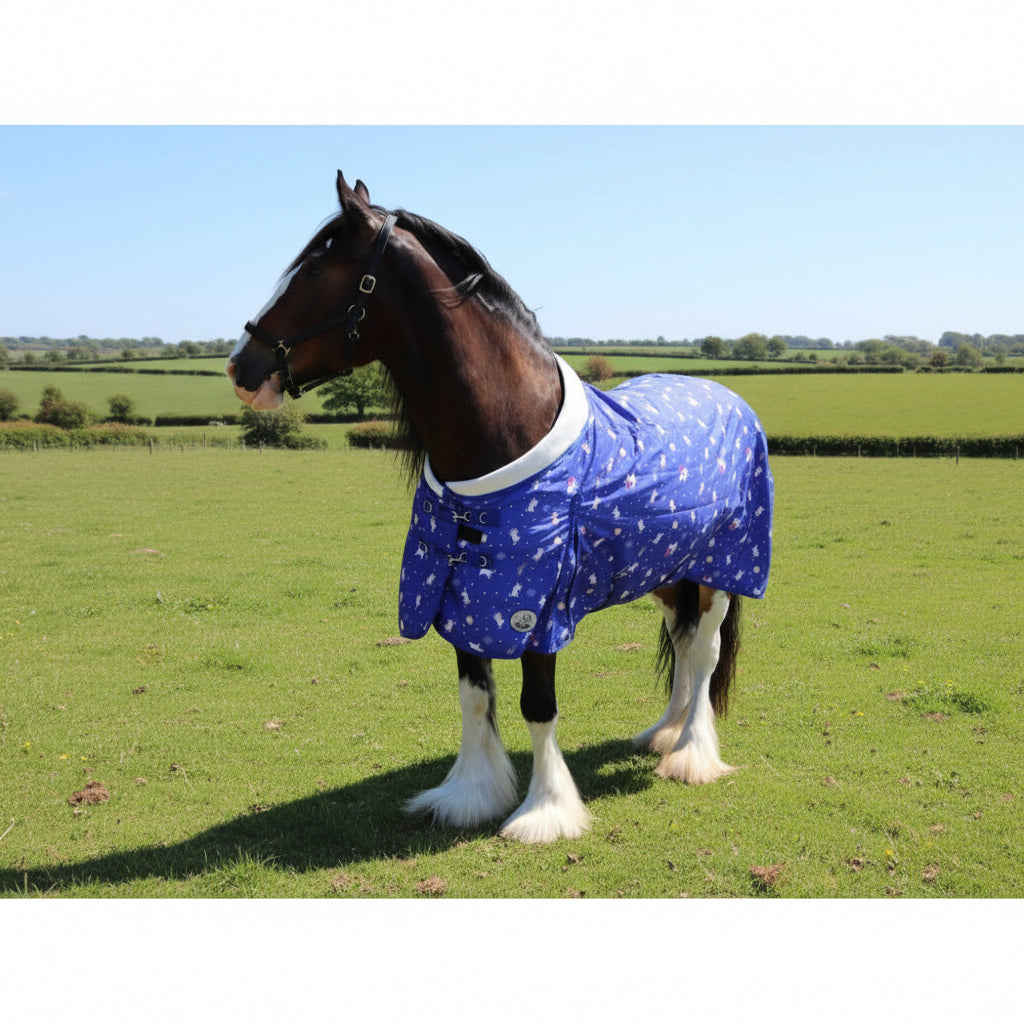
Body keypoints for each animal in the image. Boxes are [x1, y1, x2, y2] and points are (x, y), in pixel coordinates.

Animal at [228, 172, 774, 844]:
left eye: (312, 271)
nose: (242, 369)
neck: (506, 437)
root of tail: (727, 394)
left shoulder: (533, 608)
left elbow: (537, 708)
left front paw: (544, 812)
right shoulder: (457, 591)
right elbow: (474, 694)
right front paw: (471, 795)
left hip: (721, 568)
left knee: (704, 652)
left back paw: (692, 755)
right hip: (665, 571)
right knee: (682, 636)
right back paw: (661, 733)